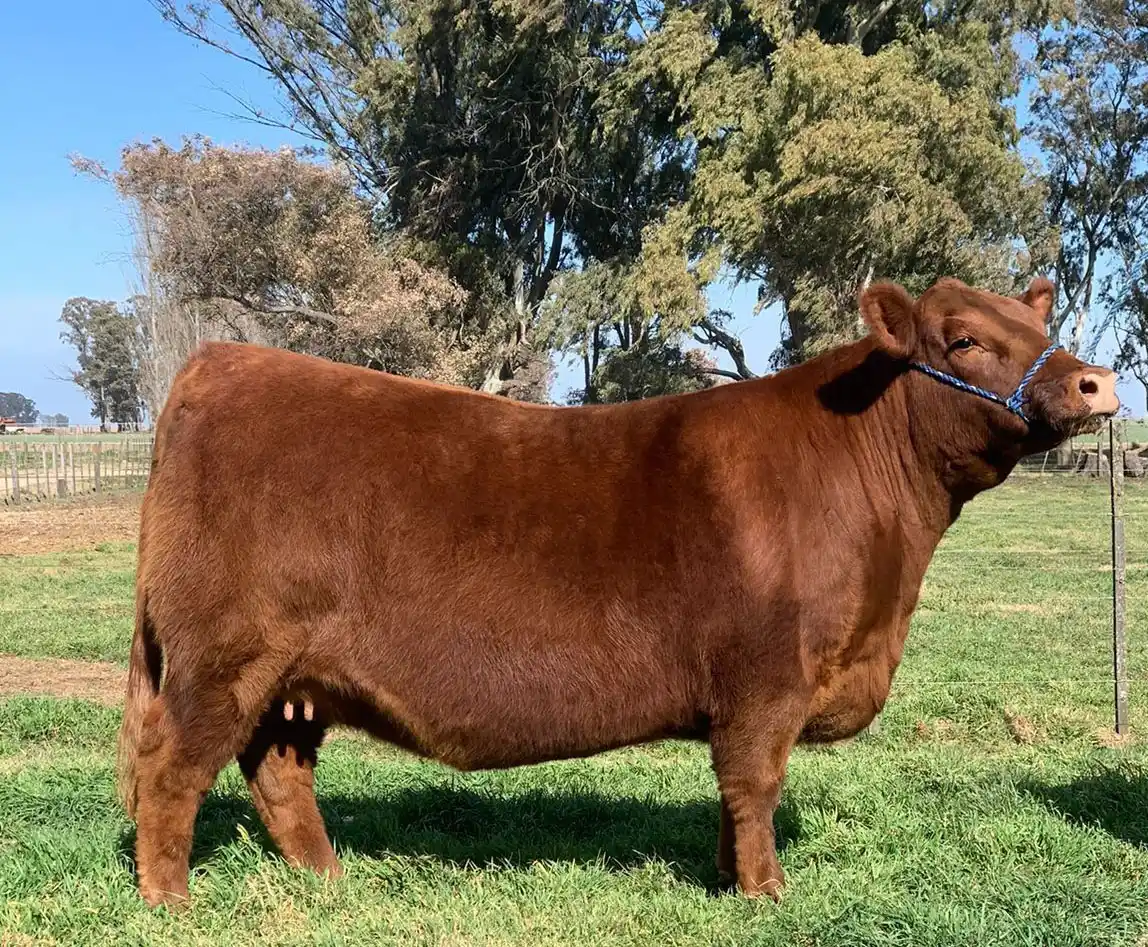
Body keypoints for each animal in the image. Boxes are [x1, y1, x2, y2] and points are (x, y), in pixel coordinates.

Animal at [117, 276, 1119, 908]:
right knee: (170, 771)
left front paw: (728, 877)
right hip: (221, 658)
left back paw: (327, 881)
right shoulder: (766, 678)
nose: (1095, 381)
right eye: (965, 340)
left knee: (277, 771)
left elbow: (733, 797)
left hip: (291, 679)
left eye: (1039, 329)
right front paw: (766, 892)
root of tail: (218, 363)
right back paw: (171, 902)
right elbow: (755, 782)